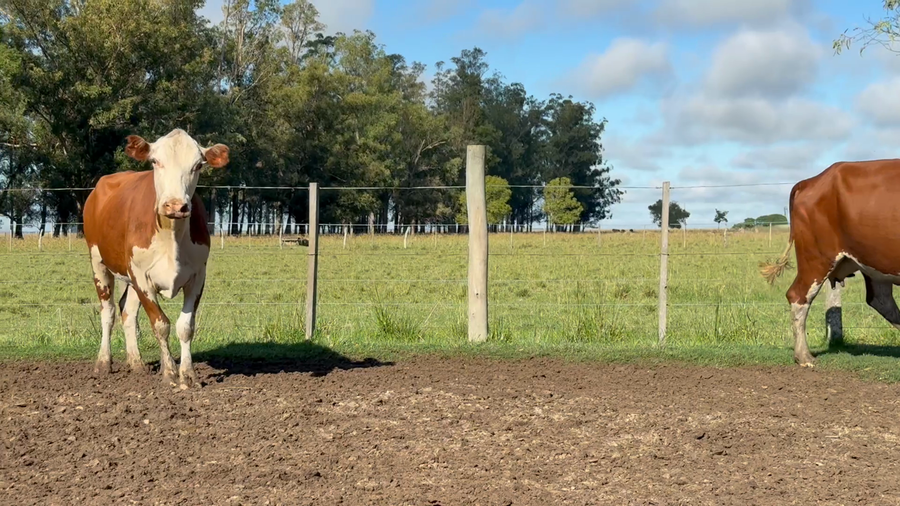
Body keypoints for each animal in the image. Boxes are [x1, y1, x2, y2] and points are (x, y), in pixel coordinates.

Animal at [83, 129, 229, 387]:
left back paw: (136, 363)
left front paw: (188, 374)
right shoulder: (142, 276)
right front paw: (169, 372)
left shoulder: (198, 276)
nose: (175, 205)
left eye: (197, 165)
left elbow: (186, 326)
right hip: (98, 262)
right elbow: (160, 324)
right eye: (155, 161)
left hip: (129, 276)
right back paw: (103, 363)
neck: (172, 235)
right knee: (108, 312)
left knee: (127, 311)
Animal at [760, 159, 900, 367]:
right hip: (816, 258)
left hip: (875, 261)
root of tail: (812, 181)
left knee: (881, 300)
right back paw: (804, 356)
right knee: (798, 296)